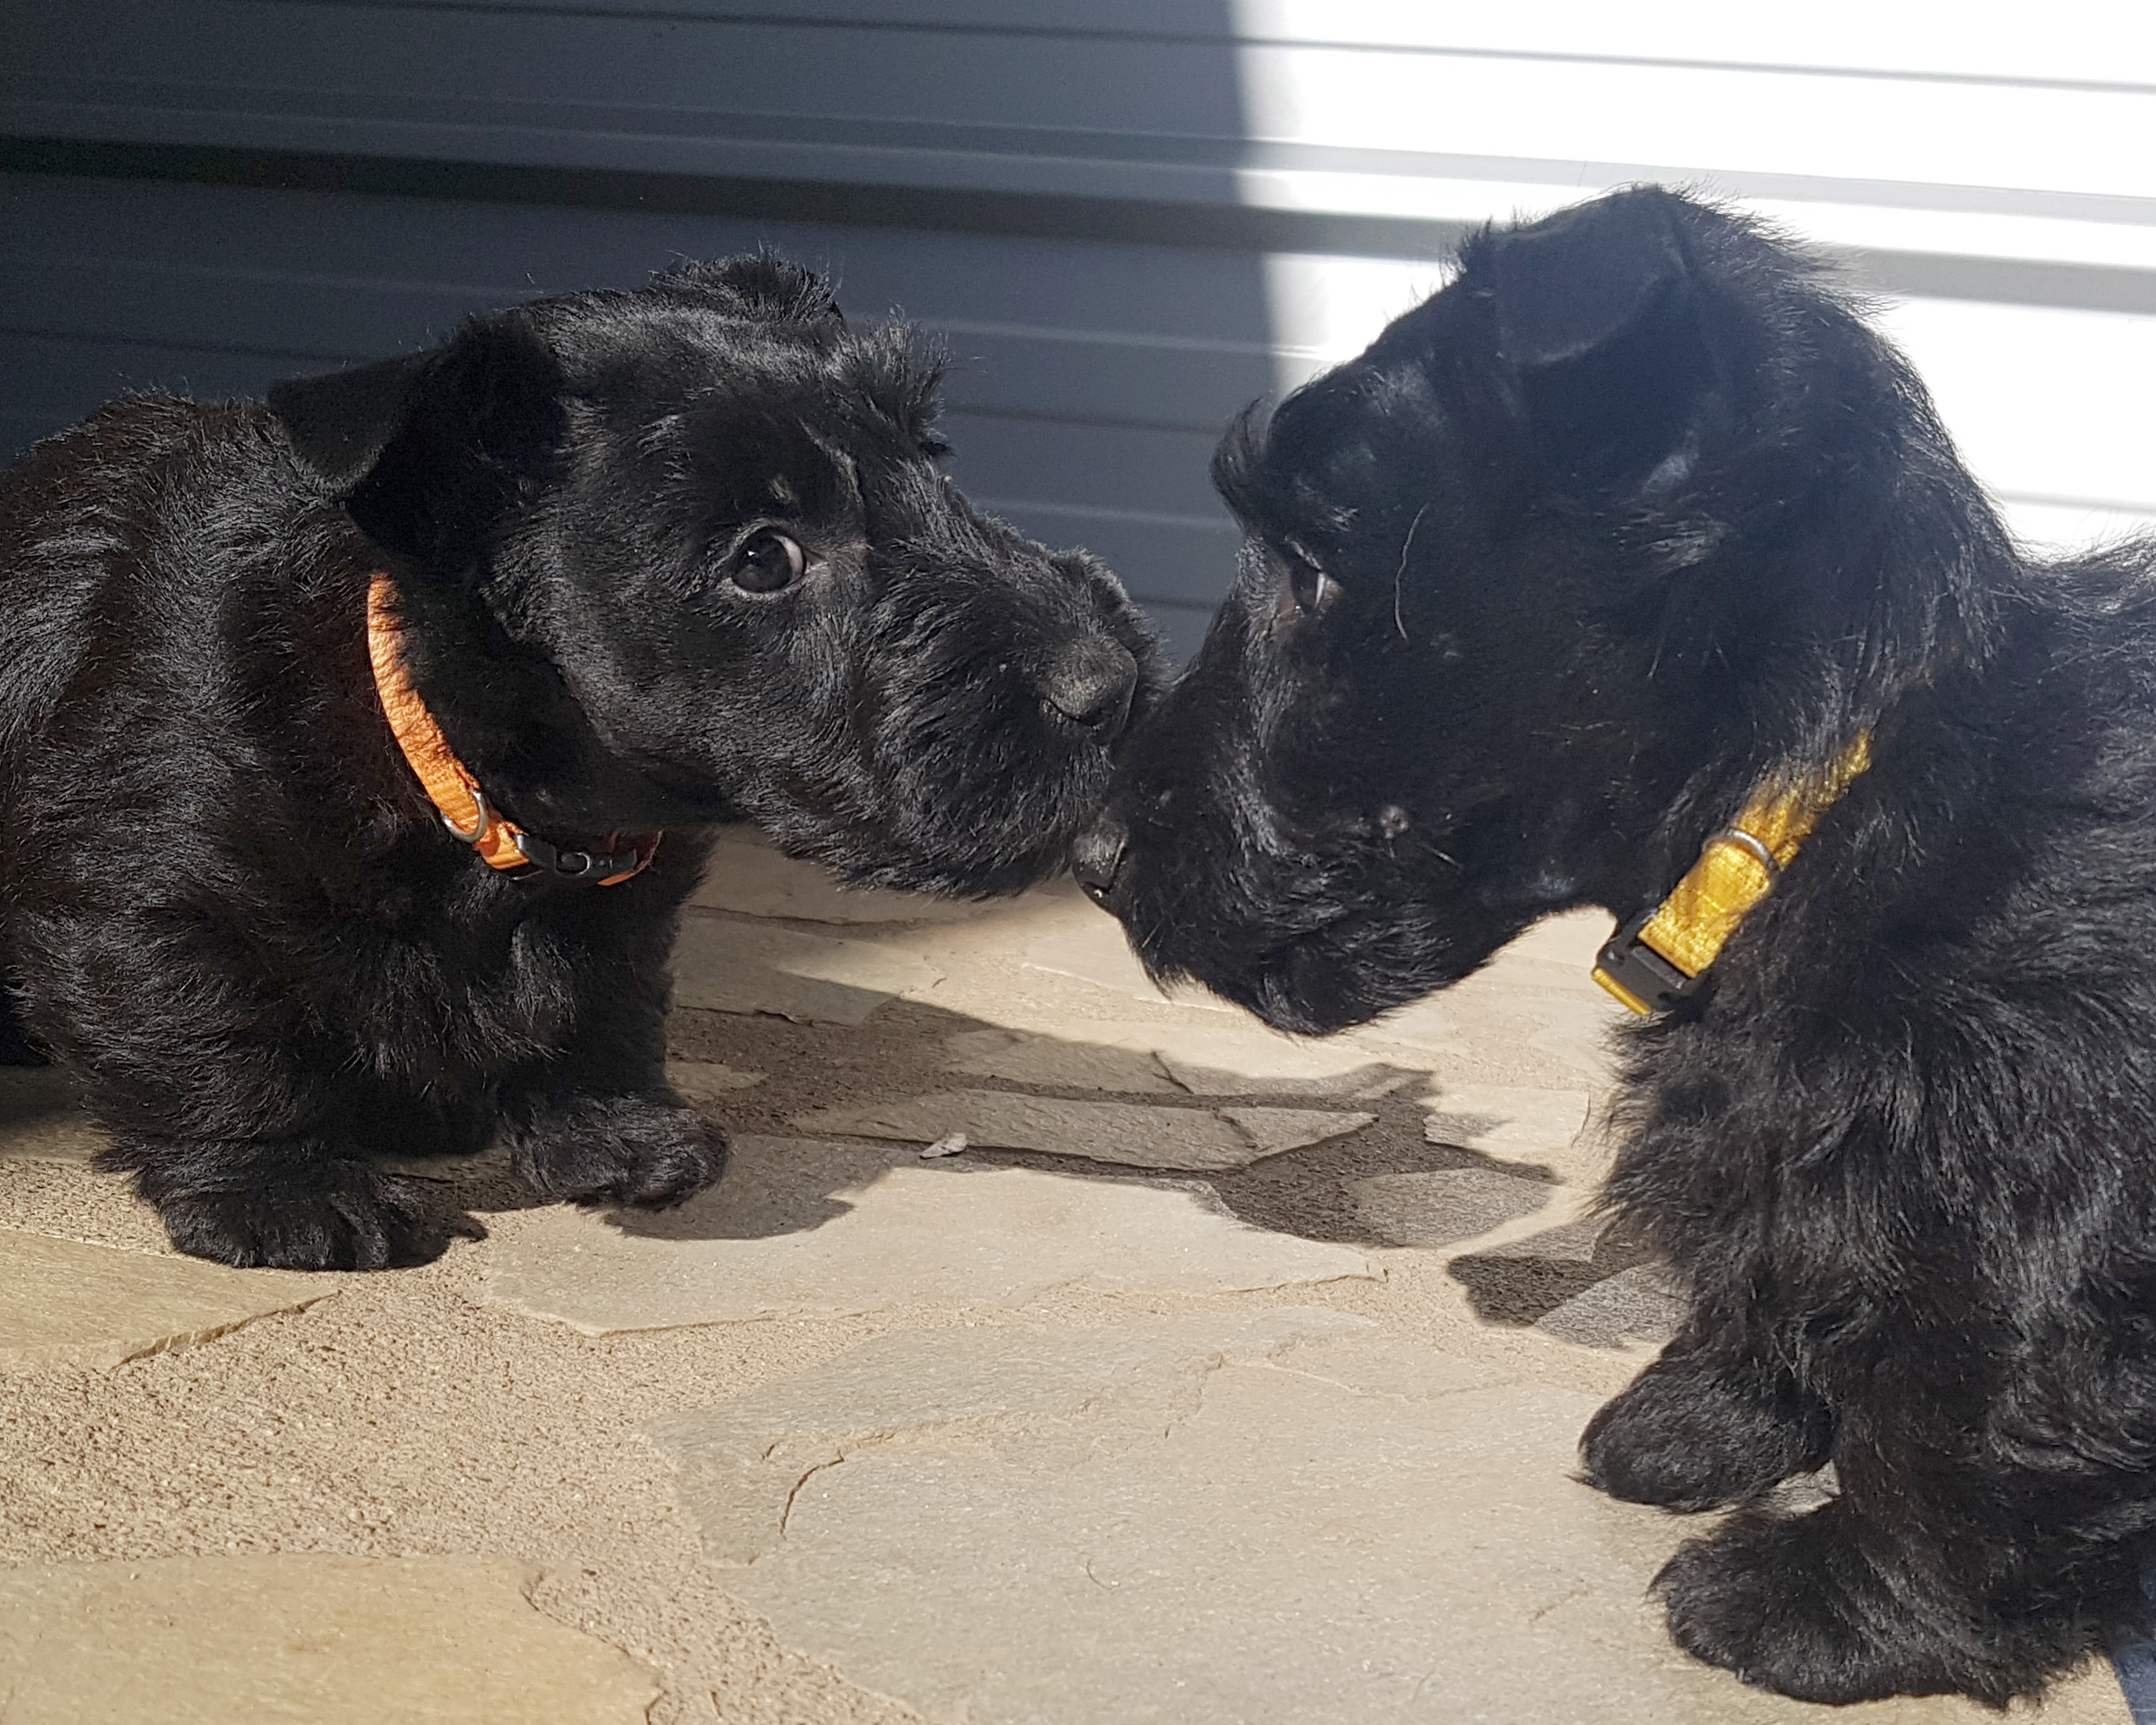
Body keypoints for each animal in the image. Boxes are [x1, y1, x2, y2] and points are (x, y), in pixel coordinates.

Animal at [3, 260, 1164, 1276]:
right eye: (761, 557)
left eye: (930, 458)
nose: (1112, 685)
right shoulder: (145, 891)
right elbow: (214, 1035)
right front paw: (285, 1190)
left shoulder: (625, 896)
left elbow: (600, 1001)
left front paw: (613, 1132)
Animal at [1078, 185, 2156, 1699]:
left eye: (1314, 570)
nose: (1092, 857)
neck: (1829, 786)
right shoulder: (1797, 1126)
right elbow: (1782, 1255)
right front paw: (1699, 1418)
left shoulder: (2043, 1164)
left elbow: (1985, 1392)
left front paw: (1834, 1600)